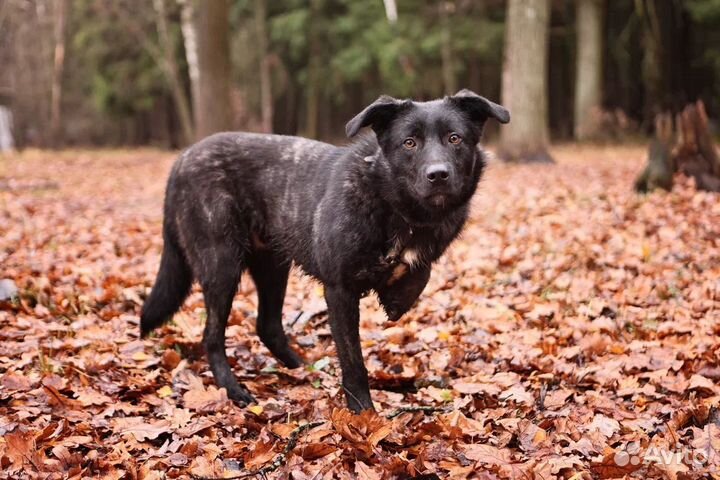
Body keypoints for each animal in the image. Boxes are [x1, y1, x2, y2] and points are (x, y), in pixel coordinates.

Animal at [141, 88, 510, 410]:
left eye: (454, 138)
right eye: (409, 143)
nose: (438, 175)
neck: (396, 207)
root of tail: (182, 159)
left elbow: (416, 277)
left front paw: (395, 298)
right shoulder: (339, 291)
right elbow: (354, 361)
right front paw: (363, 414)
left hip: (273, 266)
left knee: (267, 325)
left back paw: (301, 368)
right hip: (222, 264)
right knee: (212, 335)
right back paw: (233, 389)